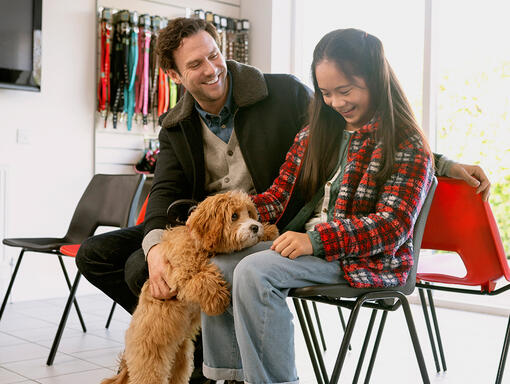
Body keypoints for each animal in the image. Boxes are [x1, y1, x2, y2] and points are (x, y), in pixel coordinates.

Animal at [100, 190, 278, 382]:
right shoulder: (178, 277)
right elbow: (202, 280)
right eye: (234, 216)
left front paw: (269, 231)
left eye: (250, 213)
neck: (200, 245)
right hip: (150, 360)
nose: (255, 227)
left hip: (182, 359)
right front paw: (219, 299)